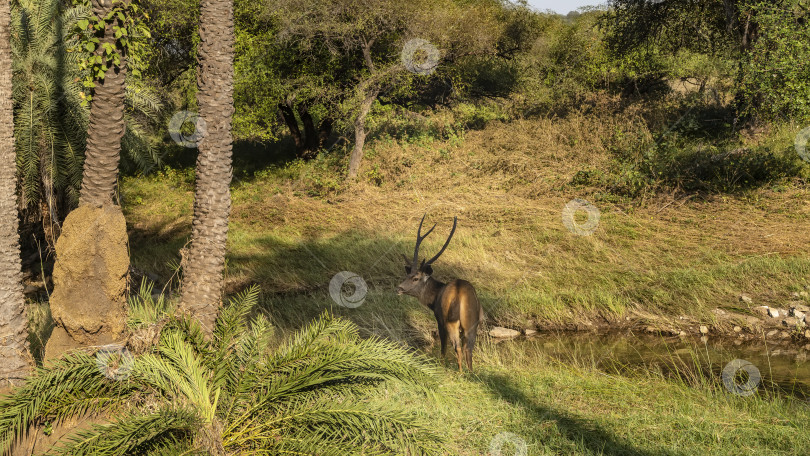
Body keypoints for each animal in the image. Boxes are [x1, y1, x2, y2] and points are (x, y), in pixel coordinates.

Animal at [396, 214, 482, 370]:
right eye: (407, 275)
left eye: (416, 278)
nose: (399, 288)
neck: (434, 298)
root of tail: (460, 293)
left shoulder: (439, 319)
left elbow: (443, 347)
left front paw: (441, 365)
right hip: (472, 323)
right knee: (468, 349)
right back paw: (470, 372)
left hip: (450, 321)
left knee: (457, 347)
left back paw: (459, 372)